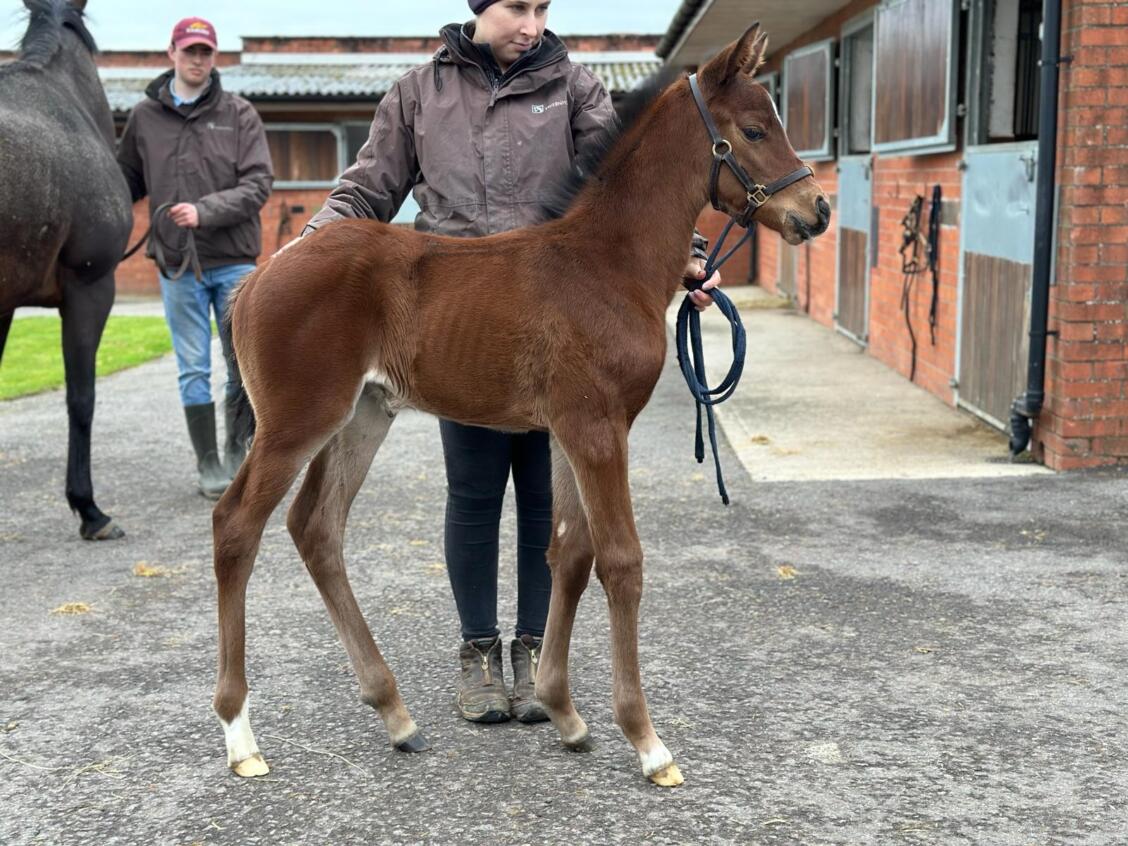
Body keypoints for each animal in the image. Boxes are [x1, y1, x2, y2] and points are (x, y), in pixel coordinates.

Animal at [212, 24, 830, 786]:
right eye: (753, 129)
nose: (816, 211)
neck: (607, 262)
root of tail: (261, 274)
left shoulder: (570, 429)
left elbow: (567, 551)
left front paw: (563, 711)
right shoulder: (597, 428)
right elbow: (621, 560)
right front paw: (647, 742)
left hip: (364, 413)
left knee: (316, 527)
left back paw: (395, 714)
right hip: (297, 421)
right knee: (237, 527)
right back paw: (240, 735)